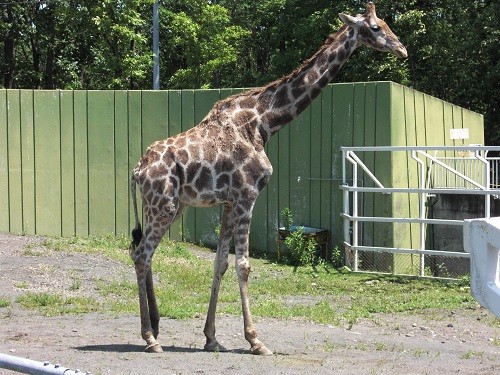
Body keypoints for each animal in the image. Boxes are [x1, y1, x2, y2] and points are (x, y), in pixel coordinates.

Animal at [129, 1, 406, 356]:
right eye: (374, 27)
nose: (402, 49)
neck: (263, 124)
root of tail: (137, 170)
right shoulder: (247, 195)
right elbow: (243, 265)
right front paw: (256, 340)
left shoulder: (229, 202)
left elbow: (220, 263)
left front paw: (212, 337)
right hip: (162, 205)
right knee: (142, 255)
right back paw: (150, 339)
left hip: (173, 207)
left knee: (144, 254)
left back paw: (155, 329)